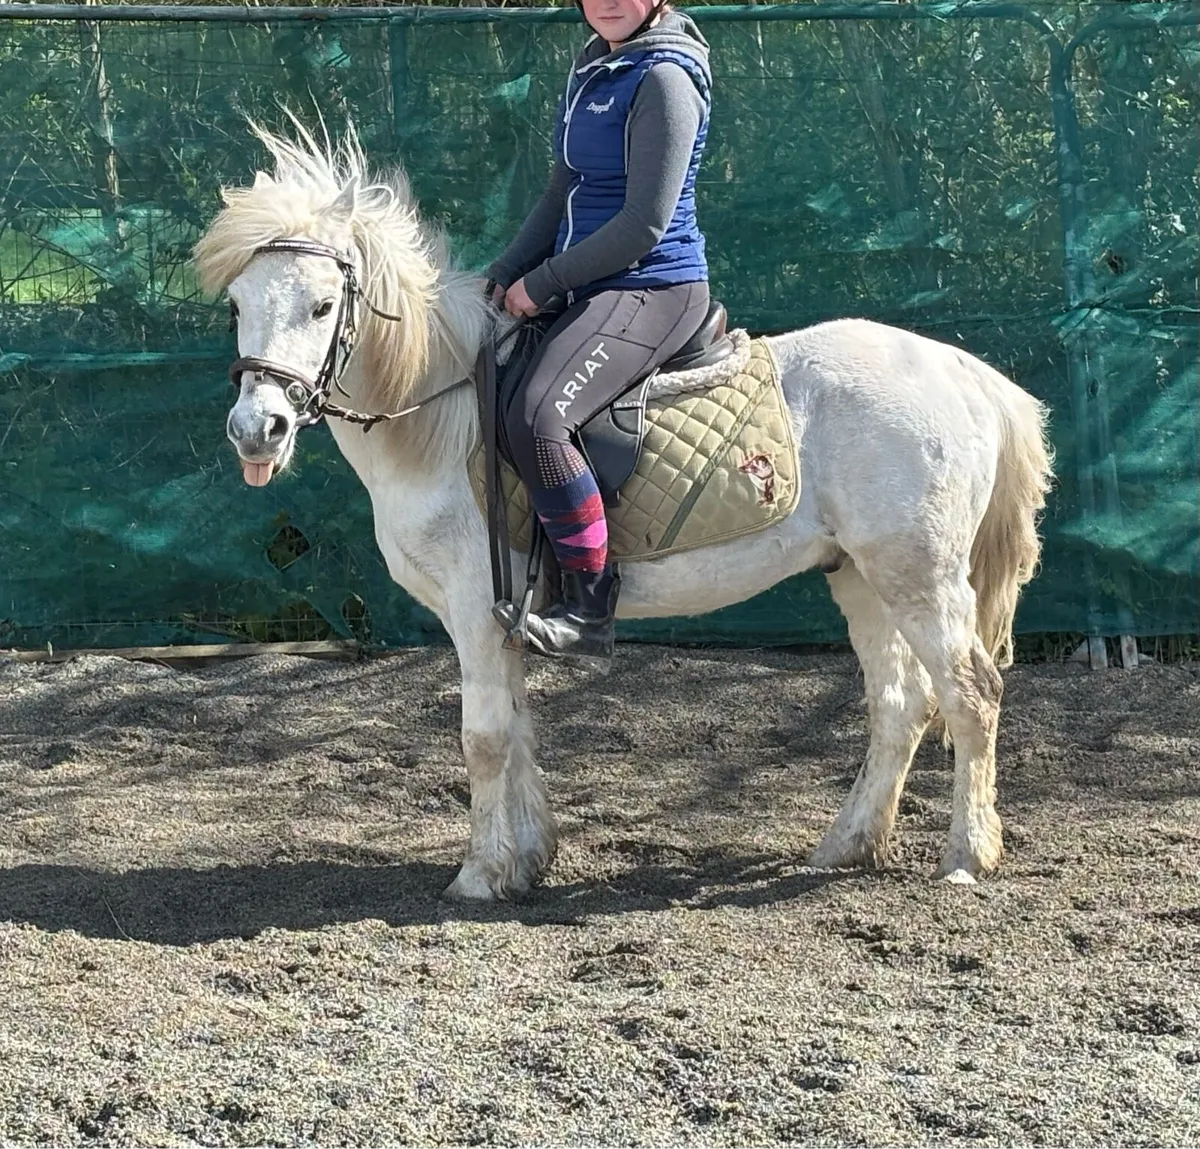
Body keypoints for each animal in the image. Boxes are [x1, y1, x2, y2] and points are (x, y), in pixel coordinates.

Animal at [193, 123, 1053, 902]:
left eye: (321, 305)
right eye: (236, 304)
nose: (257, 429)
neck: (443, 414)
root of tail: (965, 372)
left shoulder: (474, 609)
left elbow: (484, 738)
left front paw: (477, 875)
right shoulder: (501, 617)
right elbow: (519, 730)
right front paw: (527, 861)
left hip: (918, 576)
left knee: (971, 694)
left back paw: (966, 855)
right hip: (861, 576)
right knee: (901, 705)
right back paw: (845, 844)